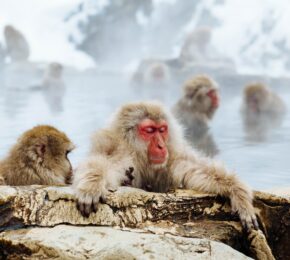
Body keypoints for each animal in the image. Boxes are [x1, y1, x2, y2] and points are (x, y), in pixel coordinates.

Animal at [73, 101, 258, 230]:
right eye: (149, 130)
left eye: (162, 129)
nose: (161, 146)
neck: (140, 157)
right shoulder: (120, 153)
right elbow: (103, 164)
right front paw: (91, 185)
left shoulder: (172, 158)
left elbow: (196, 170)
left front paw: (238, 193)